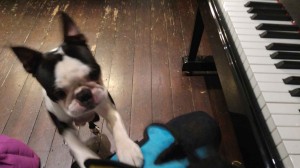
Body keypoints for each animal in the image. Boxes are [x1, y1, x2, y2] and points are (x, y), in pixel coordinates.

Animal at [9, 11, 144, 167]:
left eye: (95, 73)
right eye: (58, 93)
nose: (84, 94)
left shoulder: (106, 104)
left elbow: (116, 123)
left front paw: (128, 150)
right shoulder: (62, 125)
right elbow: (76, 144)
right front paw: (88, 158)